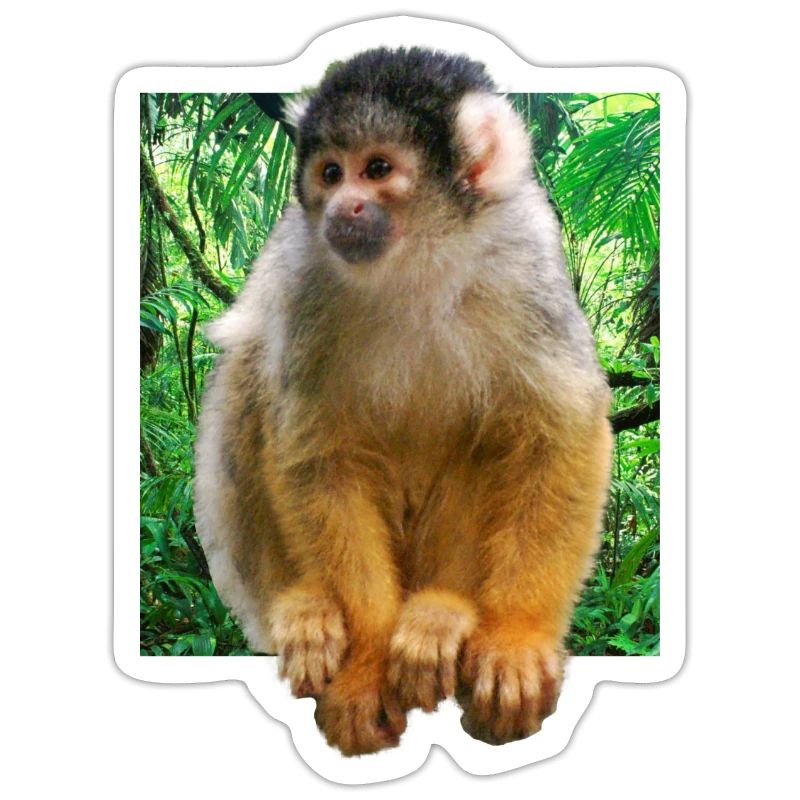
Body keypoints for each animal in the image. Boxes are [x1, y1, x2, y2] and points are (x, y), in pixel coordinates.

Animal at [194, 47, 612, 755]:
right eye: (330, 173)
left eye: (378, 169)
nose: (344, 207)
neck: (418, 260)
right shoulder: (306, 276)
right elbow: (318, 455)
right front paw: (365, 665)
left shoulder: (524, 261)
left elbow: (558, 433)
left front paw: (517, 637)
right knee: (250, 367)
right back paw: (301, 607)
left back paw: (444, 613)